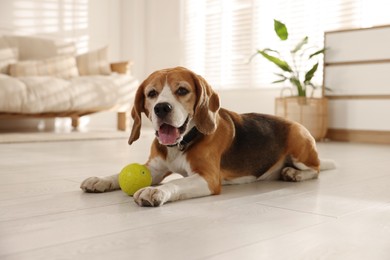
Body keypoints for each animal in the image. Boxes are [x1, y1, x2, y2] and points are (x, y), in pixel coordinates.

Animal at [80, 67, 334, 207]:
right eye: (151, 93)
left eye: (182, 90)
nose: (161, 108)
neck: (180, 144)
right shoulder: (154, 169)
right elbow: (118, 174)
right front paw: (100, 179)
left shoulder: (208, 178)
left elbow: (177, 182)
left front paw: (154, 191)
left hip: (299, 143)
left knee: (316, 170)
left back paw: (294, 174)